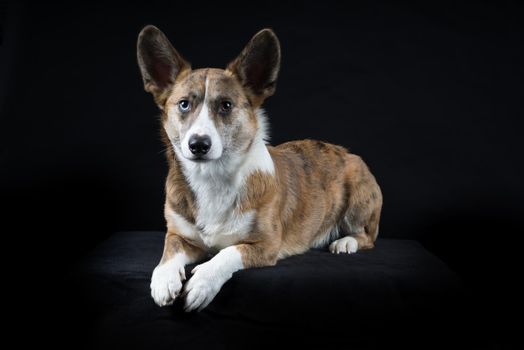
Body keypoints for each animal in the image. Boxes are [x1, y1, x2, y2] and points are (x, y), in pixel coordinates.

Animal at [136, 26, 380, 312]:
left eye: (226, 105)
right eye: (184, 104)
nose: (198, 144)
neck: (213, 177)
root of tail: (347, 151)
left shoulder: (266, 244)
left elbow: (228, 252)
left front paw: (202, 283)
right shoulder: (180, 235)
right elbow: (168, 252)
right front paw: (164, 280)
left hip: (357, 198)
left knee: (367, 237)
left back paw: (345, 242)